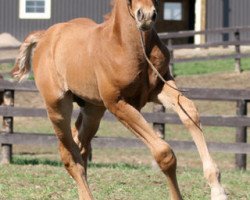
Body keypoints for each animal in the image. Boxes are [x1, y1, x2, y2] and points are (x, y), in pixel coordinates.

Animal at [12, 0, 227, 199]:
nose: (146, 16)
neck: (125, 46)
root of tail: (45, 36)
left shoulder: (160, 87)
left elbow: (190, 112)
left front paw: (218, 191)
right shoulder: (117, 104)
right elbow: (164, 153)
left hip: (93, 109)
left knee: (80, 148)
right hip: (57, 106)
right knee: (69, 155)